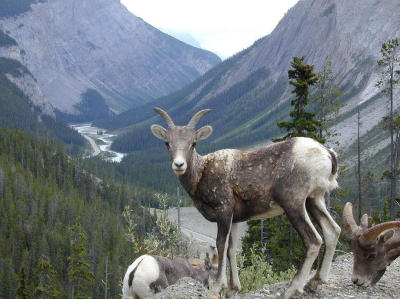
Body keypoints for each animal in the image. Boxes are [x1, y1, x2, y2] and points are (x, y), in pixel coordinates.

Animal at [150, 108, 340, 299]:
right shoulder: (235, 219)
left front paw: (219, 286)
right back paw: (314, 282)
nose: (179, 164)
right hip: (314, 200)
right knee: (333, 231)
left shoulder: (224, 210)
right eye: (167, 143)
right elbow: (231, 249)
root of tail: (328, 154)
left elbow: (221, 245)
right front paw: (234, 288)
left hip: (293, 203)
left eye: (193, 143)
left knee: (314, 240)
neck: (201, 173)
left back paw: (292, 289)